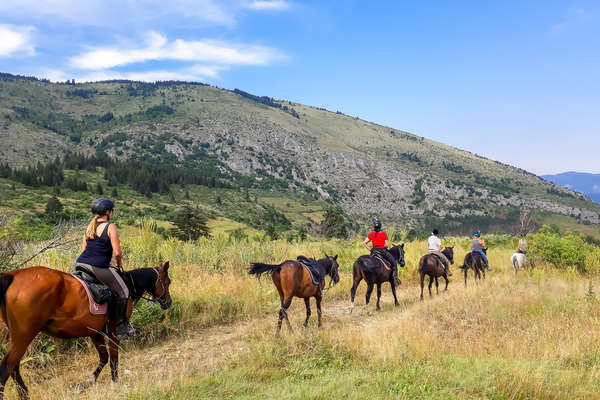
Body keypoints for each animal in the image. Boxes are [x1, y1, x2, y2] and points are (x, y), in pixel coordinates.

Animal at [0, 260, 172, 398]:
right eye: (168, 282)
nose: (168, 302)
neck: (128, 283)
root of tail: (13, 275)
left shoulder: (95, 332)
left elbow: (104, 358)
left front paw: (86, 383)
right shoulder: (113, 332)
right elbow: (113, 359)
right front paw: (115, 383)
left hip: (18, 336)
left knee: (14, 368)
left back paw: (24, 395)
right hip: (24, 335)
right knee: (6, 368)